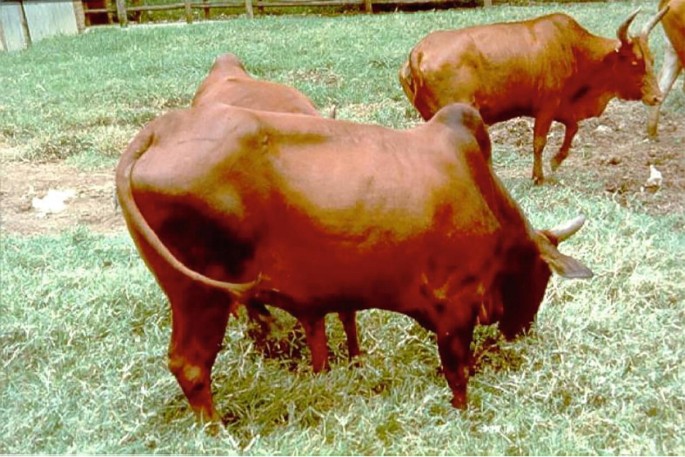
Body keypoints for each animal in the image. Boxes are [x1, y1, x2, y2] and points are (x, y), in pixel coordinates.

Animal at [116, 101, 593, 422]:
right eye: (541, 277)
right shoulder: (454, 304)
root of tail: (159, 130)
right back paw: (217, 431)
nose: (521, 330)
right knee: (190, 365)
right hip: (200, 295)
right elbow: (457, 373)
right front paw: (463, 413)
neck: (482, 191)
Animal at [399, 8, 668, 184]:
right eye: (635, 62)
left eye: (652, 59)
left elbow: (573, 127)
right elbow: (539, 142)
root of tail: (418, 53)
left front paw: (556, 161)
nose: (658, 97)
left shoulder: (560, 106)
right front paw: (539, 176)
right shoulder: (547, 106)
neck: (574, 48)